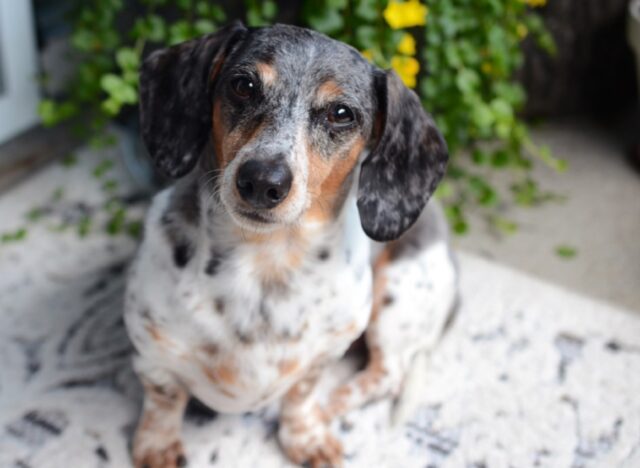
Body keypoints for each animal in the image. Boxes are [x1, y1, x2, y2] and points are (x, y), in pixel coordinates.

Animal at [124, 20, 456, 466]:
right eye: (243, 85)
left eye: (341, 113)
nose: (262, 180)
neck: (264, 261)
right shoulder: (151, 352)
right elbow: (164, 398)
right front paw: (158, 444)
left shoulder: (325, 354)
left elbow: (301, 395)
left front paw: (306, 434)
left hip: (397, 299)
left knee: (387, 374)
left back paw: (331, 405)